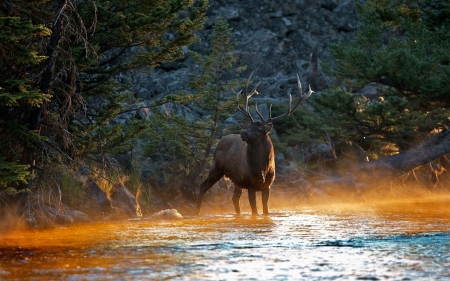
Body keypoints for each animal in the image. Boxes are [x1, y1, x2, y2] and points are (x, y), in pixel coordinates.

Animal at [195, 72, 314, 214]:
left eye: (259, 129)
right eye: (249, 126)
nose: (243, 133)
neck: (261, 168)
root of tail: (220, 140)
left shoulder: (267, 186)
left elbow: (265, 211)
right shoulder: (250, 184)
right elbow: (255, 212)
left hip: (237, 180)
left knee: (234, 198)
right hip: (217, 166)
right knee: (203, 186)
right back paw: (196, 212)